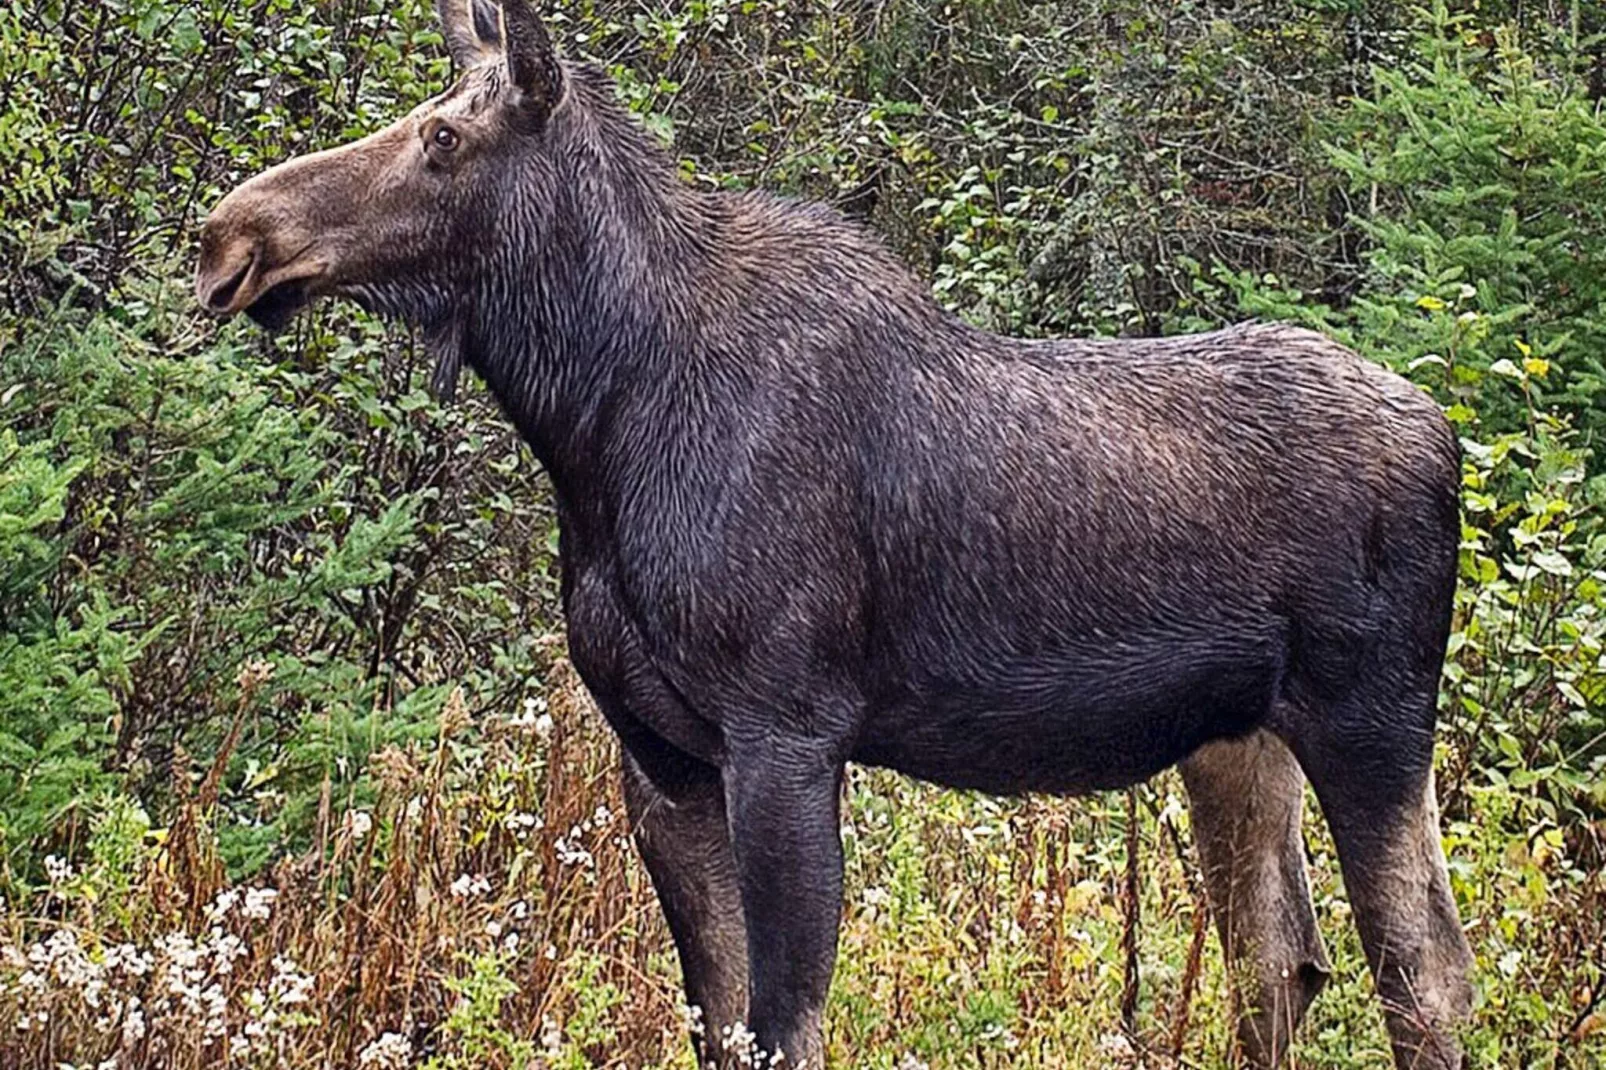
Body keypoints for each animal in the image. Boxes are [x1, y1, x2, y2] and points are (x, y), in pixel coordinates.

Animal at [194, 4, 1471, 1060]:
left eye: (444, 138)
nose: (228, 236)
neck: (596, 420)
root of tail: (1445, 436)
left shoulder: (787, 729)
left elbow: (784, 1025)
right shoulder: (658, 754)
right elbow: (717, 1023)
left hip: (1371, 715)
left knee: (1425, 975)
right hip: (1235, 736)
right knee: (1283, 963)